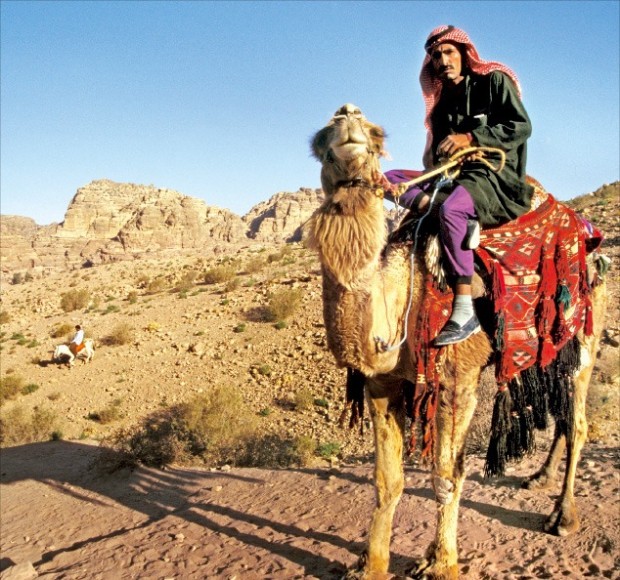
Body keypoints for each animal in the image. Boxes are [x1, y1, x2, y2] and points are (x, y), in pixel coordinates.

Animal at [306, 104, 604, 580]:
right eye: (322, 143)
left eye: (375, 136)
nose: (347, 115)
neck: (402, 297)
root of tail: (589, 235)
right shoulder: (381, 382)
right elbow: (386, 480)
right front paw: (371, 564)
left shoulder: (455, 378)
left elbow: (447, 475)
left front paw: (440, 562)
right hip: (552, 348)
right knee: (560, 412)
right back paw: (539, 479)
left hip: (587, 335)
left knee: (577, 423)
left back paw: (563, 517)